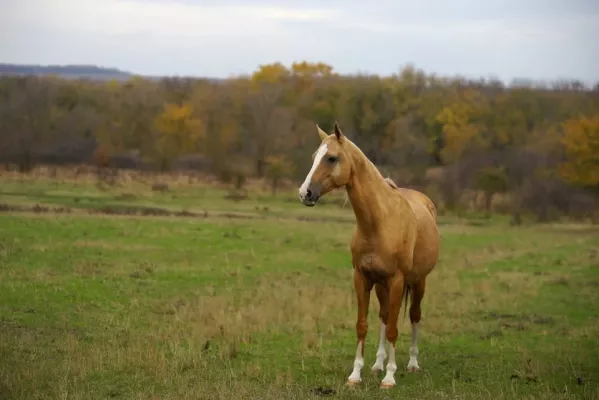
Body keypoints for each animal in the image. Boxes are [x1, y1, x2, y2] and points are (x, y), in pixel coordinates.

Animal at [296, 121, 440, 388]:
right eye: (314, 157)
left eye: (332, 158)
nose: (304, 193)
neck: (379, 222)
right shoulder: (362, 278)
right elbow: (363, 325)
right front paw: (356, 374)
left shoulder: (397, 281)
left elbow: (394, 327)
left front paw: (390, 378)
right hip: (382, 285)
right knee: (384, 316)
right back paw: (377, 365)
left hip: (418, 282)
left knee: (413, 315)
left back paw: (412, 364)